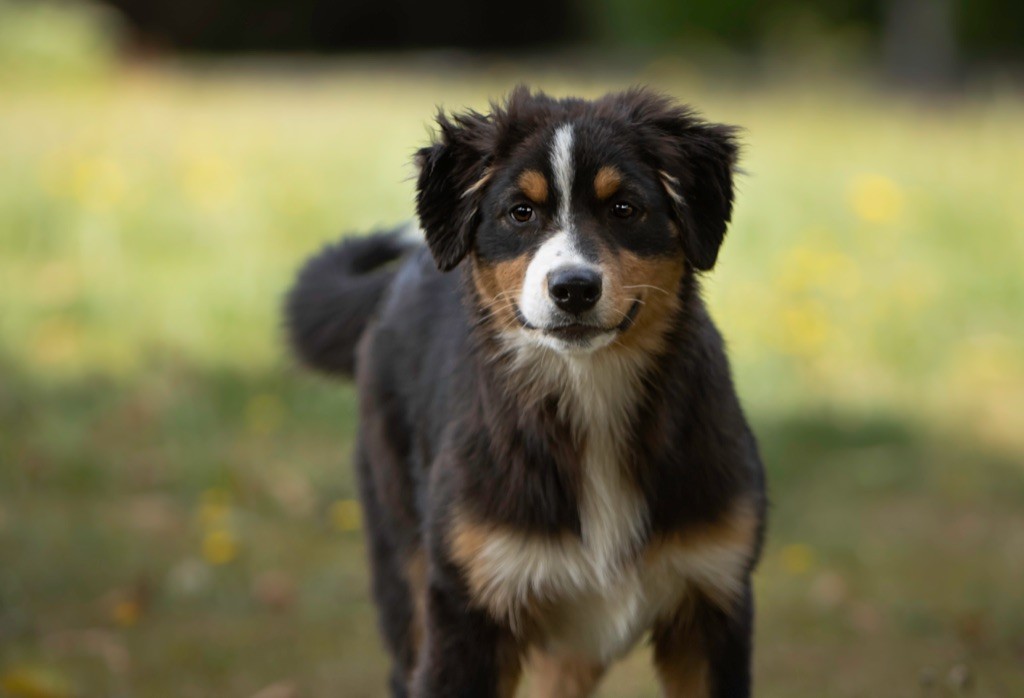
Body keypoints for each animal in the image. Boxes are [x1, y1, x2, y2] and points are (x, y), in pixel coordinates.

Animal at [284, 86, 765, 695]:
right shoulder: (469, 604)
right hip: (403, 559)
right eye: (521, 212)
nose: (573, 289)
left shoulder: (714, 597)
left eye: (625, 209)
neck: (590, 394)